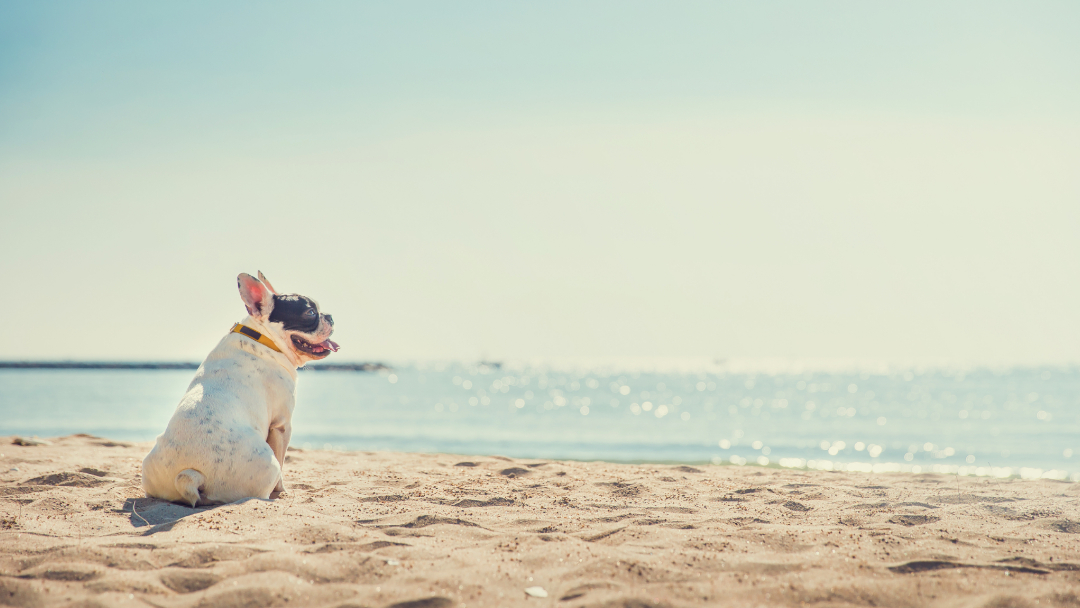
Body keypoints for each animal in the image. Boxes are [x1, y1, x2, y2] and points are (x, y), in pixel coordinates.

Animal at [141, 273, 336, 507]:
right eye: (310, 313)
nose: (330, 316)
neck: (264, 338)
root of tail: (190, 475)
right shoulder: (282, 425)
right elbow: (283, 461)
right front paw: (282, 490)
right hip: (267, 464)